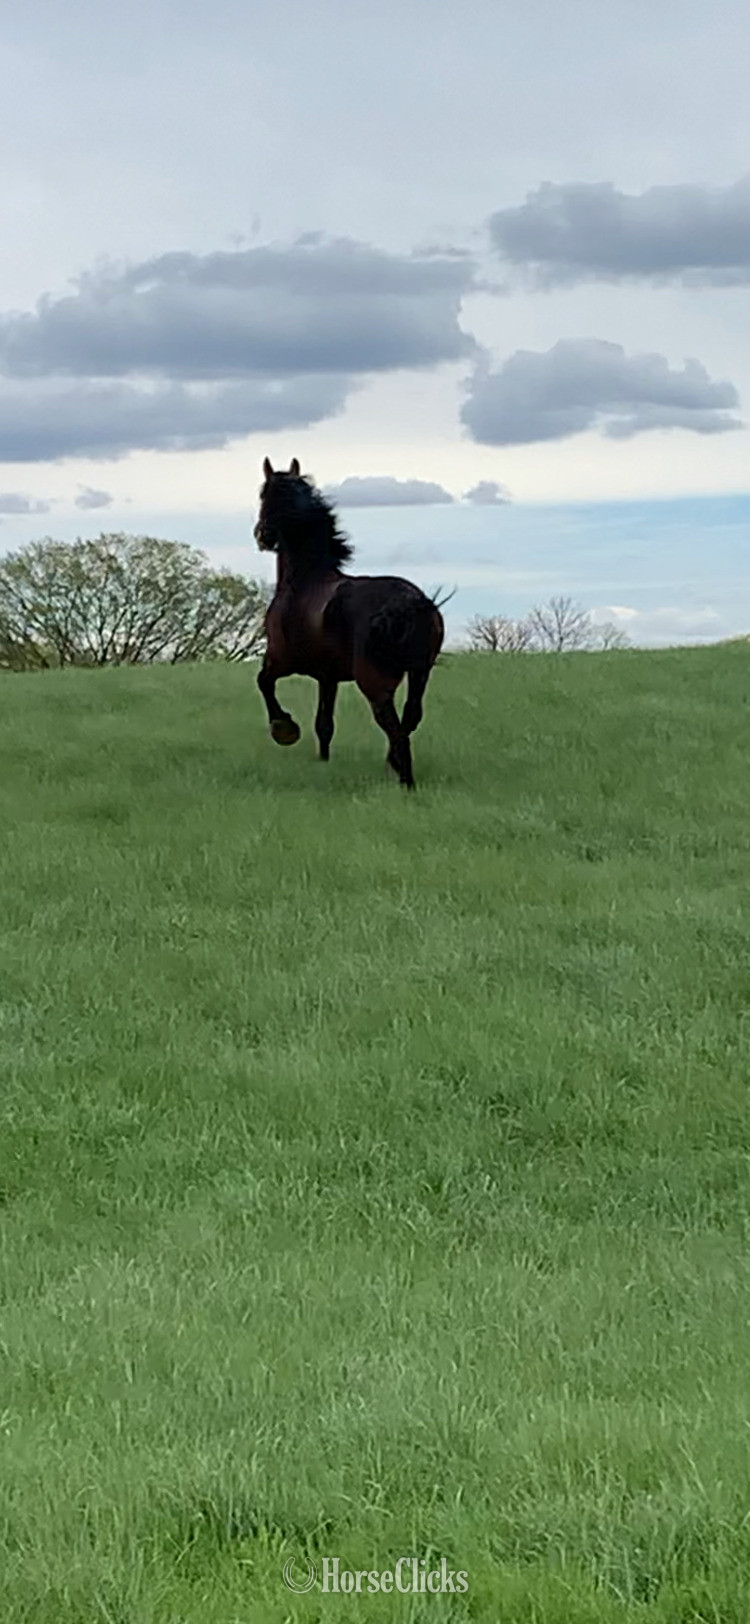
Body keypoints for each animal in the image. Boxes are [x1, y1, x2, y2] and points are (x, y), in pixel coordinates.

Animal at [254, 458, 444, 789]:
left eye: (264, 495)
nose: (262, 536)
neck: (304, 583)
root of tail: (410, 604)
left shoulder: (280, 659)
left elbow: (264, 683)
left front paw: (285, 729)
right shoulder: (327, 677)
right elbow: (324, 724)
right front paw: (323, 761)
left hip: (375, 680)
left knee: (392, 724)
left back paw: (405, 780)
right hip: (419, 672)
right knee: (409, 718)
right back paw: (394, 765)